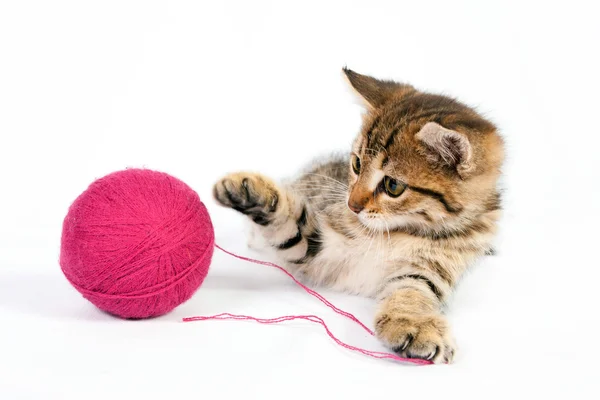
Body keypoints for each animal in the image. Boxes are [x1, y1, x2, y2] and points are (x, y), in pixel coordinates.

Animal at [213, 68, 504, 362]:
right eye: (356, 164)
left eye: (393, 186)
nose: (352, 205)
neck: (399, 230)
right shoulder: (318, 246)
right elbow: (289, 221)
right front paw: (246, 189)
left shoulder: (432, 270)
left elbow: (413, 291)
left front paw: (413, 325)